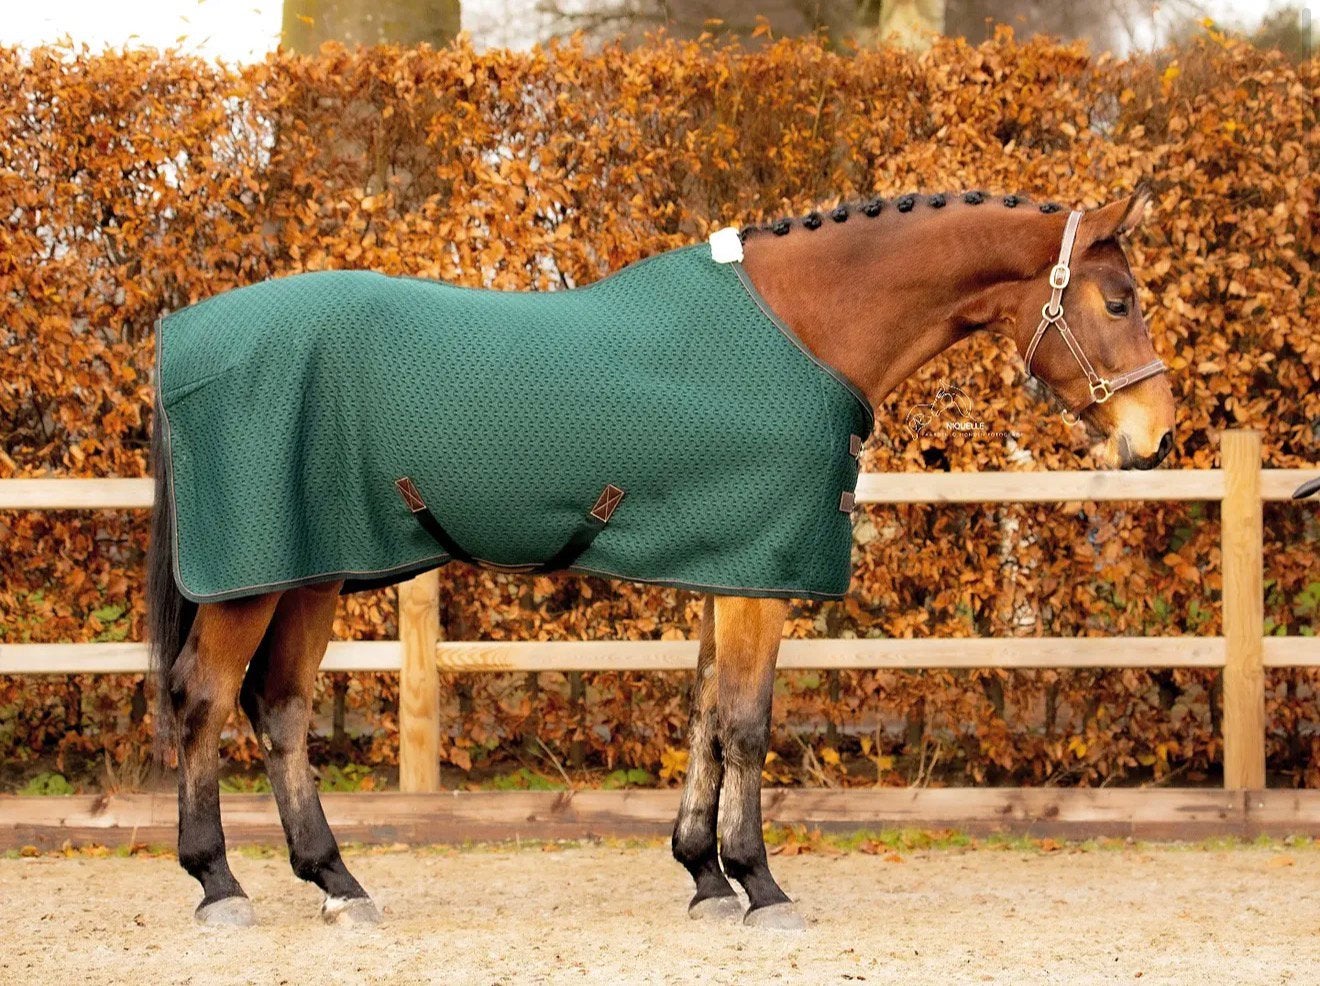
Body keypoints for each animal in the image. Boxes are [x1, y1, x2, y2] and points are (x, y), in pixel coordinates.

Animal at [147, 186, 1175, 929]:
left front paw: (706, 877)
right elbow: (748, 723)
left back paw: (339, 884)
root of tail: (182, 337)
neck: (805, 326)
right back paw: (219, 884)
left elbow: (705, 716)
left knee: (279, 706)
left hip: (308, 572)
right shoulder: (762, 577)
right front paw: (761, 885)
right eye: (1119, 301)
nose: (1154, 437)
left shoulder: (734, 567)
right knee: (204, 695)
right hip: (254, 579)